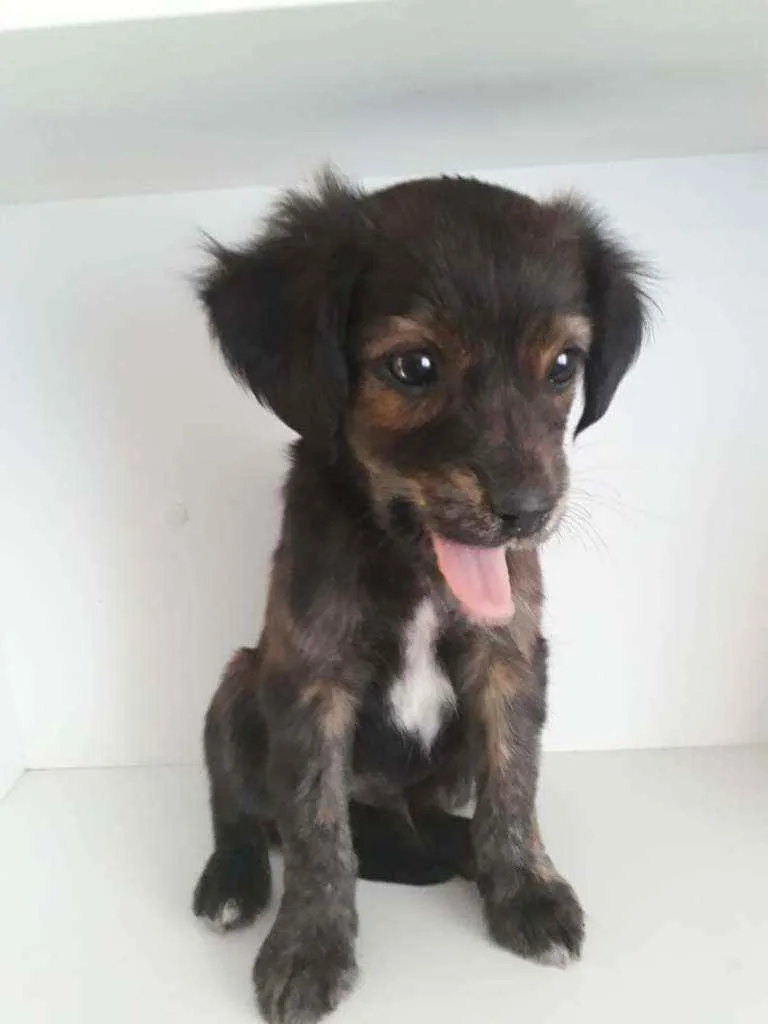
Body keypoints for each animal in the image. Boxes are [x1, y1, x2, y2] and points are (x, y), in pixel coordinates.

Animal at [192, 170, 648, 1023]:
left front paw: (524, 891)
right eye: (414, 367)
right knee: (239, 806)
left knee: (438, 810)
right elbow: (313, 826)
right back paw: (232, 880)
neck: (415, 565)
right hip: (238, 682)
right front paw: (310, 947)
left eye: (563, 364)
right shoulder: (309, 679)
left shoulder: (510, 661)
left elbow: (513, 787)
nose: (527, 510)